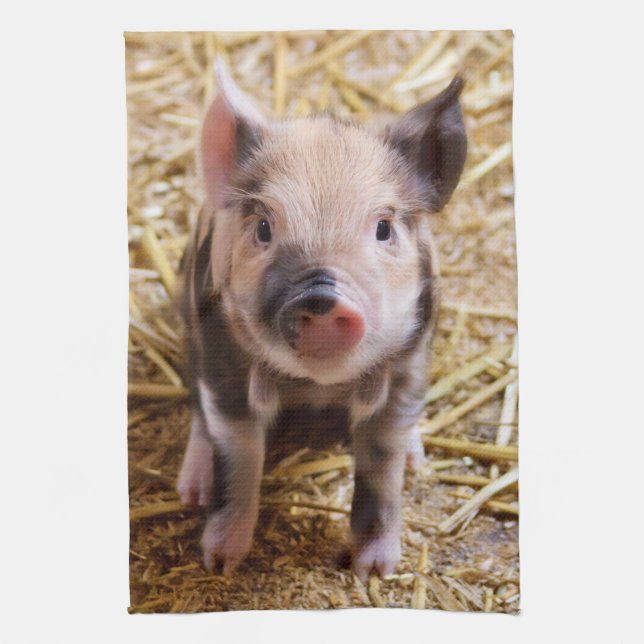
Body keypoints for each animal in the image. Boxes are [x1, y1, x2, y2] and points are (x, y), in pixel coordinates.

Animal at [176, 60, 467, 580]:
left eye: (384, 228)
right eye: (264, 227)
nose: (321, 295)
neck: (317, 389)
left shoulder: (408, 365)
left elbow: (382, 466)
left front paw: (375, 571)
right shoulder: (221, 359)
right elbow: (239, 458)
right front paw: (220, 562)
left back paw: (419, 462)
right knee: (196, 413)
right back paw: (191, 491)